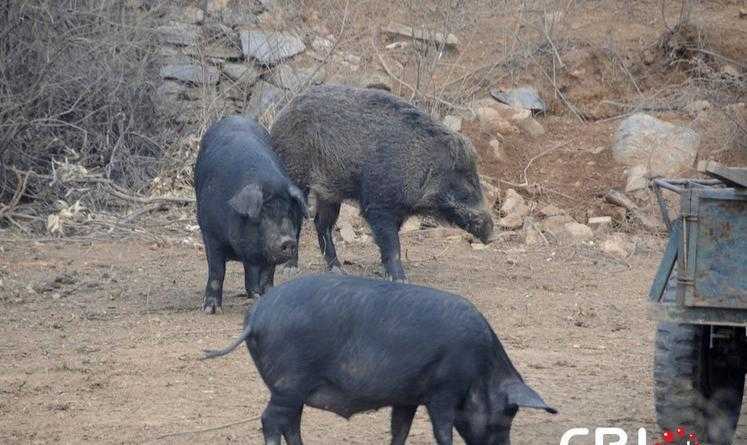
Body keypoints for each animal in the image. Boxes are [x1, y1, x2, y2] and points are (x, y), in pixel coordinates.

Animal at [196, 116, 310, 314]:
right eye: (263, 214)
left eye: (290, 212)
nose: (288, 241)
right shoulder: (210, 234)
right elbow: (217, 271)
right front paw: (211, 309)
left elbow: (268, 273)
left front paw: (268, 297)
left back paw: (253, 294)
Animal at [202, 274, 560, 444]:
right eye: (507, 416)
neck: (480, 370)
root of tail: (256, 316)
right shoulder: (443, 390)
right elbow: (442, 431)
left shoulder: (408, 396)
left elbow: (399, 430)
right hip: (289, 382)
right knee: (271, 420)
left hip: (291, 389)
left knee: (291, 423)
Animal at [272, 84, 494, 280]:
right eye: (467, 187)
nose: (492, 235)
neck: (420, 165)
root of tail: (282, 113)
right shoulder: (378, 204)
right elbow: (391, 242)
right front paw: (400, 279)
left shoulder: (399, 211)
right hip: (295, 174)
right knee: (295, 220)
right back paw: (290, 269)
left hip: (330, 191)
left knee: (321, 223)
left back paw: (338, 270)